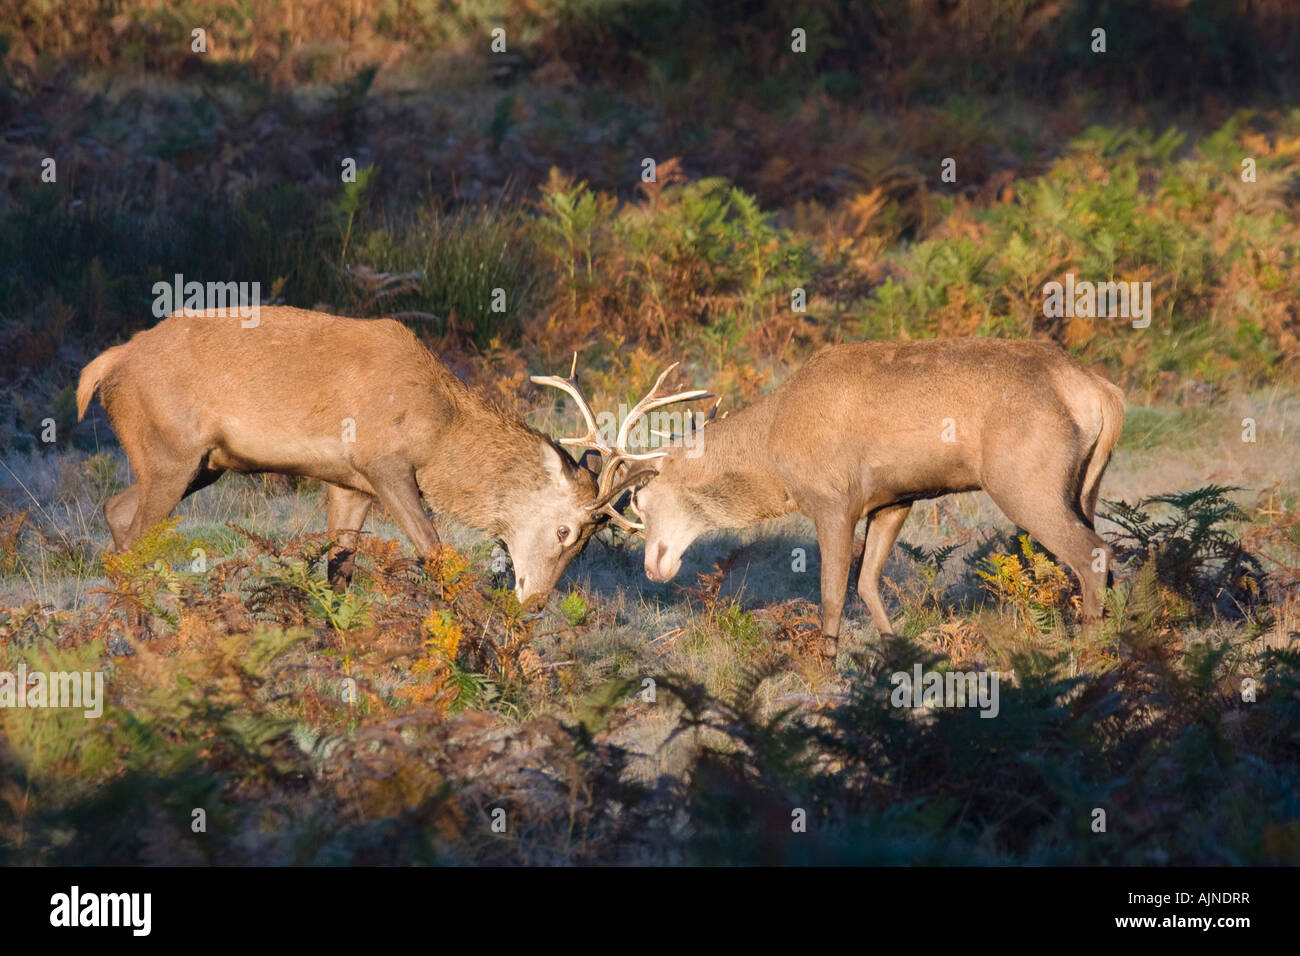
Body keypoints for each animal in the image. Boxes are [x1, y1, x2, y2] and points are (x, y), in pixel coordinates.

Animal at [72, 306, 655, 606]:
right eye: (564, 530)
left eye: (587, 543)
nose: (535, 601)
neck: (438, 430)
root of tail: (105, 366)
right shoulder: (383, 463)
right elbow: (436, 554)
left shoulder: (348, 482)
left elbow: (340, 571)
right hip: (171, 453)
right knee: (132, 540)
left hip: (200, 465)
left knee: (116, 513)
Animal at [608, 340, 1128, 660]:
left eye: (638, 499)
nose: (652, 568)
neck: (774, 451)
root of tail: (1104, 393)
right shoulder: (892, 500)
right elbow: (867, 584)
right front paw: (898, 656)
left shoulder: (832, 500)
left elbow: (832, 594)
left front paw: (826, 668)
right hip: (1083, 488)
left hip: (1025, 482)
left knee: (1095, 554)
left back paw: (1089, 655)